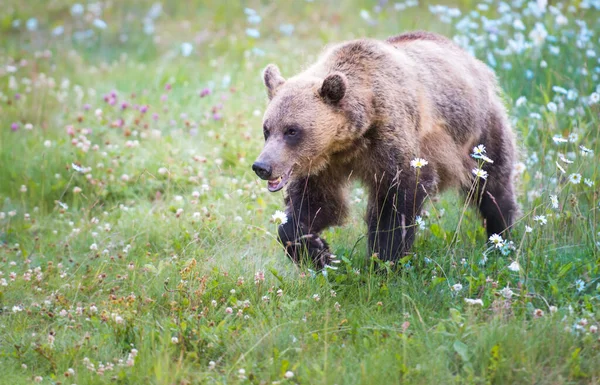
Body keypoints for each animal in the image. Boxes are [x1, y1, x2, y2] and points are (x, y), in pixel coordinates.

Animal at [251, 30, 516, 268]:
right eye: (267, 129)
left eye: (292, 130)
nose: (262, 166)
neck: (349, 140)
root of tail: (474, 61)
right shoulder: (323, 164)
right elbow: (314, 205)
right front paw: (318, 251)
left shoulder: (390, 141)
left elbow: (398, 200)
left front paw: (385, 259)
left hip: (479, 133)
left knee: (493, 186)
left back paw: (502, 239)